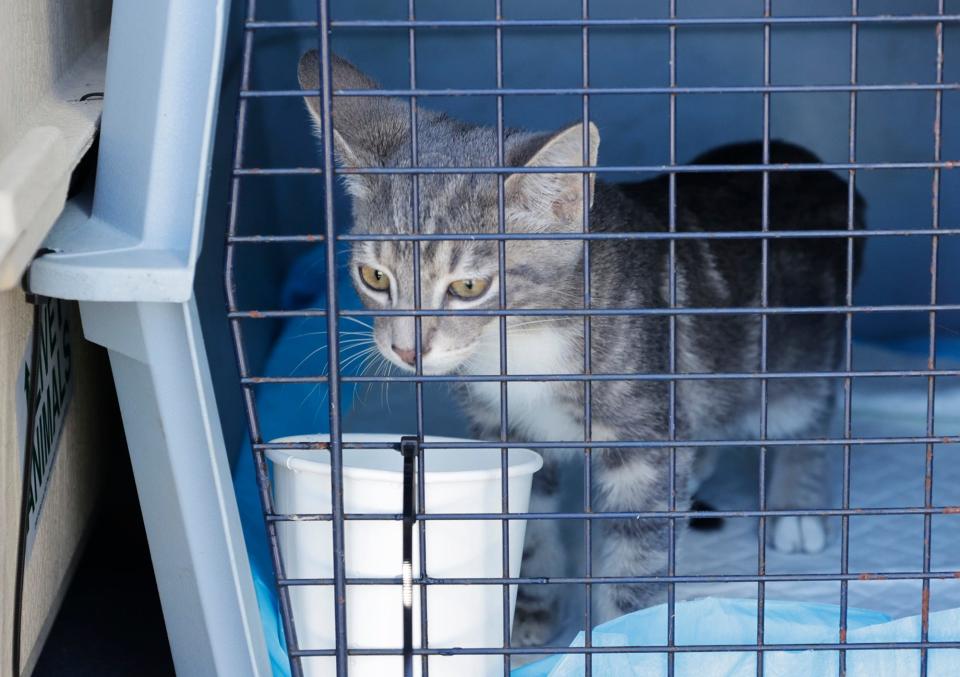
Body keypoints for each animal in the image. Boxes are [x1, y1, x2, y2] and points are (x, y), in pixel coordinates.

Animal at [298, 52, 864, 644]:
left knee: (806, 411)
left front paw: (621, 640)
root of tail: (814, 171)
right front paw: (530, 613)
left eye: (468, 286)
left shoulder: (644, 441)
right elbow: (527, 525)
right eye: (374, 276)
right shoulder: (506, 432)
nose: (407, 349)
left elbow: (637, 557)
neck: (522, 346)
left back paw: (796, 507)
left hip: (798, 352)